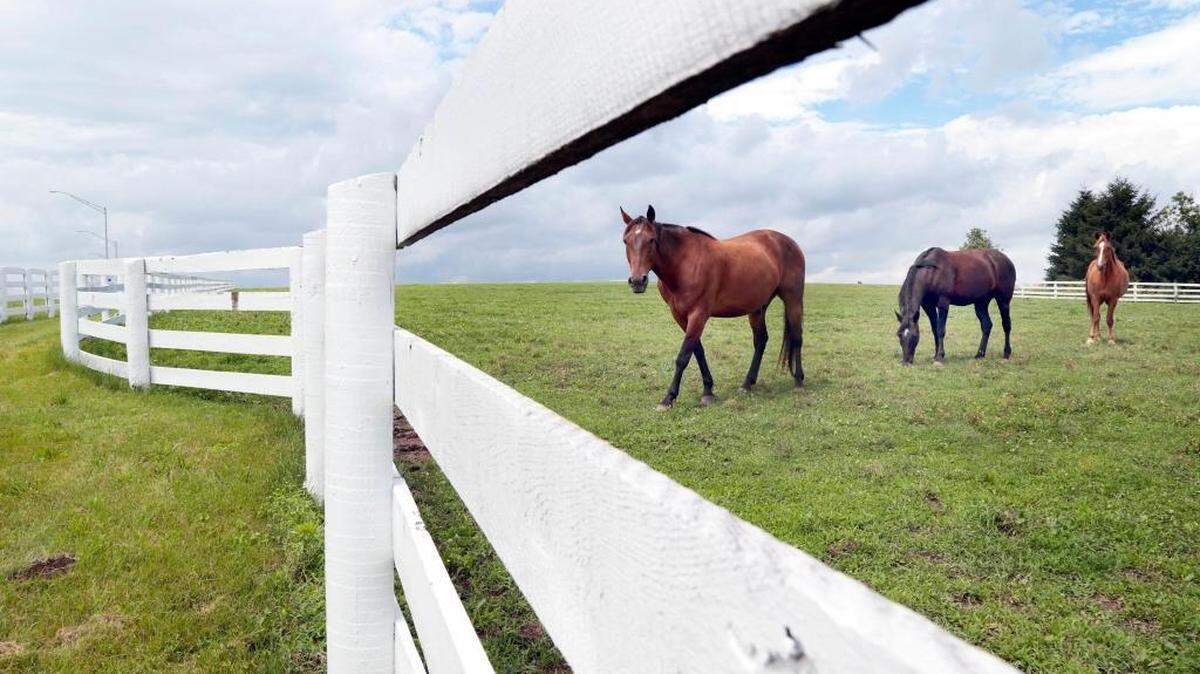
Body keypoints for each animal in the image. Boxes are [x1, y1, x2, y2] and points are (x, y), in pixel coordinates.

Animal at [621, 205, 806, 411]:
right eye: (626, 241)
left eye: (651, 240)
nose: (637, 281)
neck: (684, 263)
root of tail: (789, 242)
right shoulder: (680, 316)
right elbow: (697, 351)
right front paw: (708, 391)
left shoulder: (699, 314)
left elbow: (683, 356)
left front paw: (668, 398)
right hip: (758, 307)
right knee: (761, 340)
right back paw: (747, 384)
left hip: (793, 299)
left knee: (796, 337)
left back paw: (798, 381)